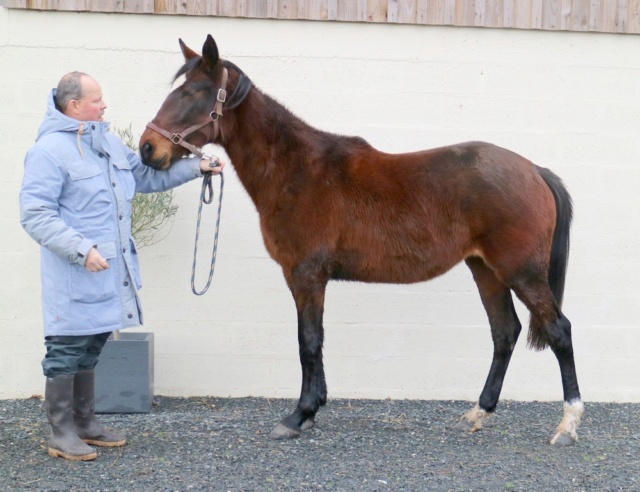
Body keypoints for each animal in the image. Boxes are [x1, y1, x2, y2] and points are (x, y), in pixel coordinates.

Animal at [141, 32, 584, 444]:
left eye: (193, 93)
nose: (148, 149)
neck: (297, 170)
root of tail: (534, 170)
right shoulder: (307, 277)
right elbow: (314, 341)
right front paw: (313, 408)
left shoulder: (305, 274)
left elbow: (308, 342)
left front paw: (299, 415)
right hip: (485, 270)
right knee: (504, 332)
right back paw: (478, 413)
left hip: (521, 272)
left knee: (559, 330)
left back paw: (567, 424)